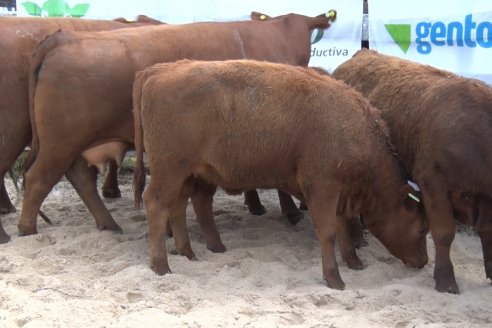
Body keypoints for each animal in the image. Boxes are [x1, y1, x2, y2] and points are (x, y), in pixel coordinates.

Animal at [18, 10, 334, 243]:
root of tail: (64, 38)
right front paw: (290, 212)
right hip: (60, 143)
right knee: (37, 180)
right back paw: (27, 230)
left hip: (69, 144)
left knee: (79, 178)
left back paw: (108, 224)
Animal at [133, 59, 428, 290]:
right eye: (422, 228)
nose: (423, 261)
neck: (352, 127)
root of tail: (157, 71)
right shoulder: (322, 189)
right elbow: (329, 232)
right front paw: (334, 279)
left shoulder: (341, 195)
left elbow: (345, 226)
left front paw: (355, 263)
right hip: (170, 172)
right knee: (156, 205)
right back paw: (161, 266)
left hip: (188, 175)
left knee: (181, 206)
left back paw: (192, 253)